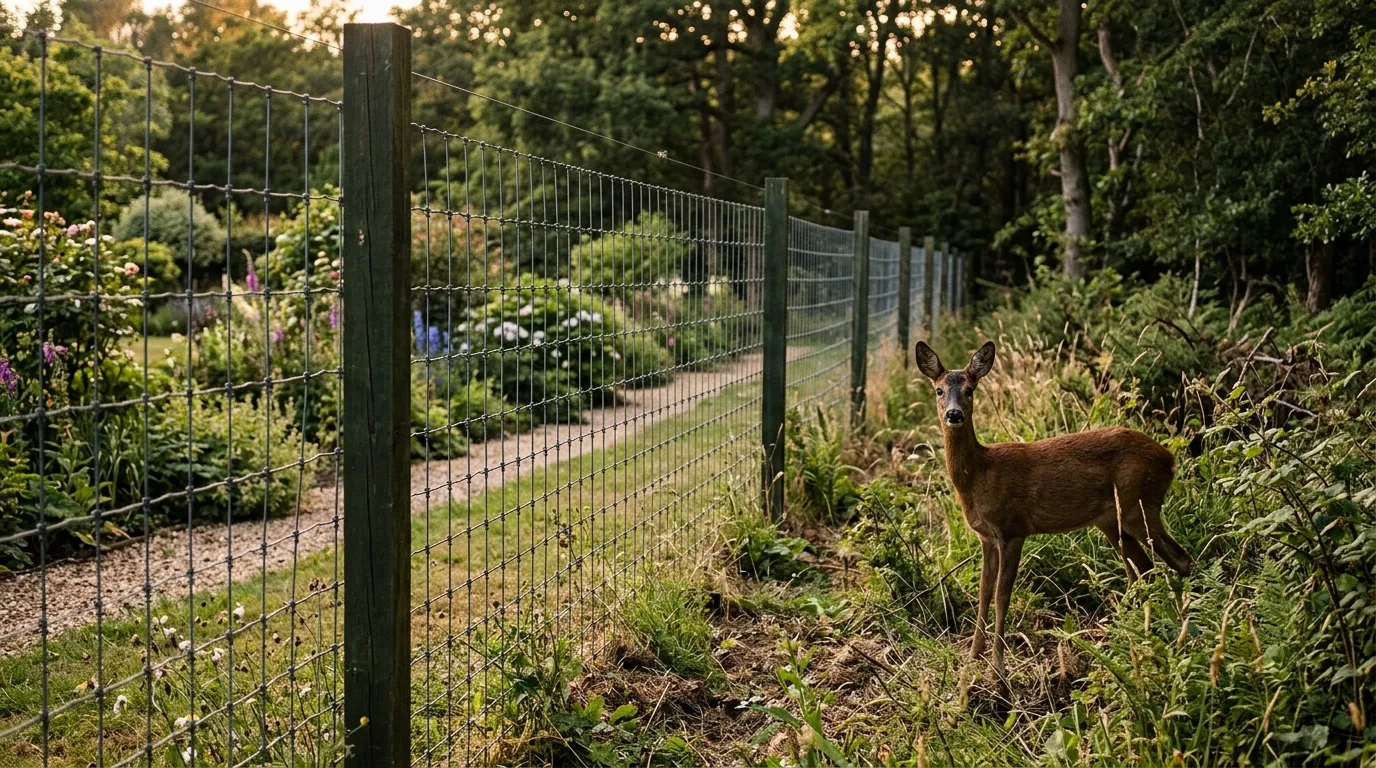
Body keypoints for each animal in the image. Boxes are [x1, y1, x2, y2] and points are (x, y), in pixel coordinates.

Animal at [913, 340, 1194, 680]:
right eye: (939, 390)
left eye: (970, 390)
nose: (954, 414)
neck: (981, 474)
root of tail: (1170, 459)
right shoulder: (986, 537)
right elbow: (982, 594)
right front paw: (972, 659)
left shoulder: (1013, 529)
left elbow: (1001, 597)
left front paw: (998, 668)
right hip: (1113, 520)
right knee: (1142, 569)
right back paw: (1130, 632)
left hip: (1138, 504)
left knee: (1179, 558)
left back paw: (1180, 633)